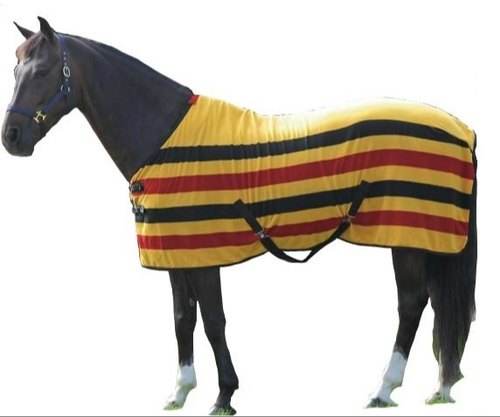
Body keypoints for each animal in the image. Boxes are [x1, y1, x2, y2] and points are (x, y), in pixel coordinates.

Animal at [1, 17, 477, 415]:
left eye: (43, 71)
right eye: (15, 70)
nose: (12, 138)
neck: (162, 136)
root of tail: (463, 130)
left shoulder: (203, 256)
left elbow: (213, 322)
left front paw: (224, 396)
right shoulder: (177, 255)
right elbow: (183, 319)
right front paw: (180, 392)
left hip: (406, 236)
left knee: (412, 304)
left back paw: (384, 388)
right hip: (424, 236)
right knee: (438, 304)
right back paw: (440, 386)